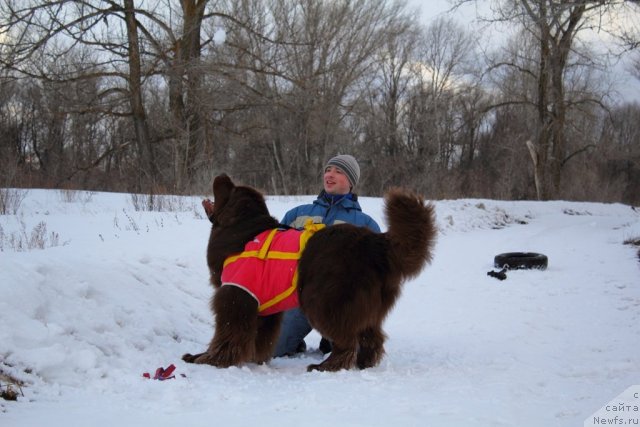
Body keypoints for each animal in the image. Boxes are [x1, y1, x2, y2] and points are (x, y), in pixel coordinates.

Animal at [182, 174, 438, 372]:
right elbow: (258, 337)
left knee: (347, 340)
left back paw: (327, 366)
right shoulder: (263, 308)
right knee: (372, 338)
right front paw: (252, 359)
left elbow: (227, 334)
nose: (222, 174)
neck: (243, 231)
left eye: (231, 188)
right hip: (365, 307)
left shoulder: (236, 296)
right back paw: (363, 363)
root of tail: (375, 242)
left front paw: (210, 360)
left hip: (324, 301)